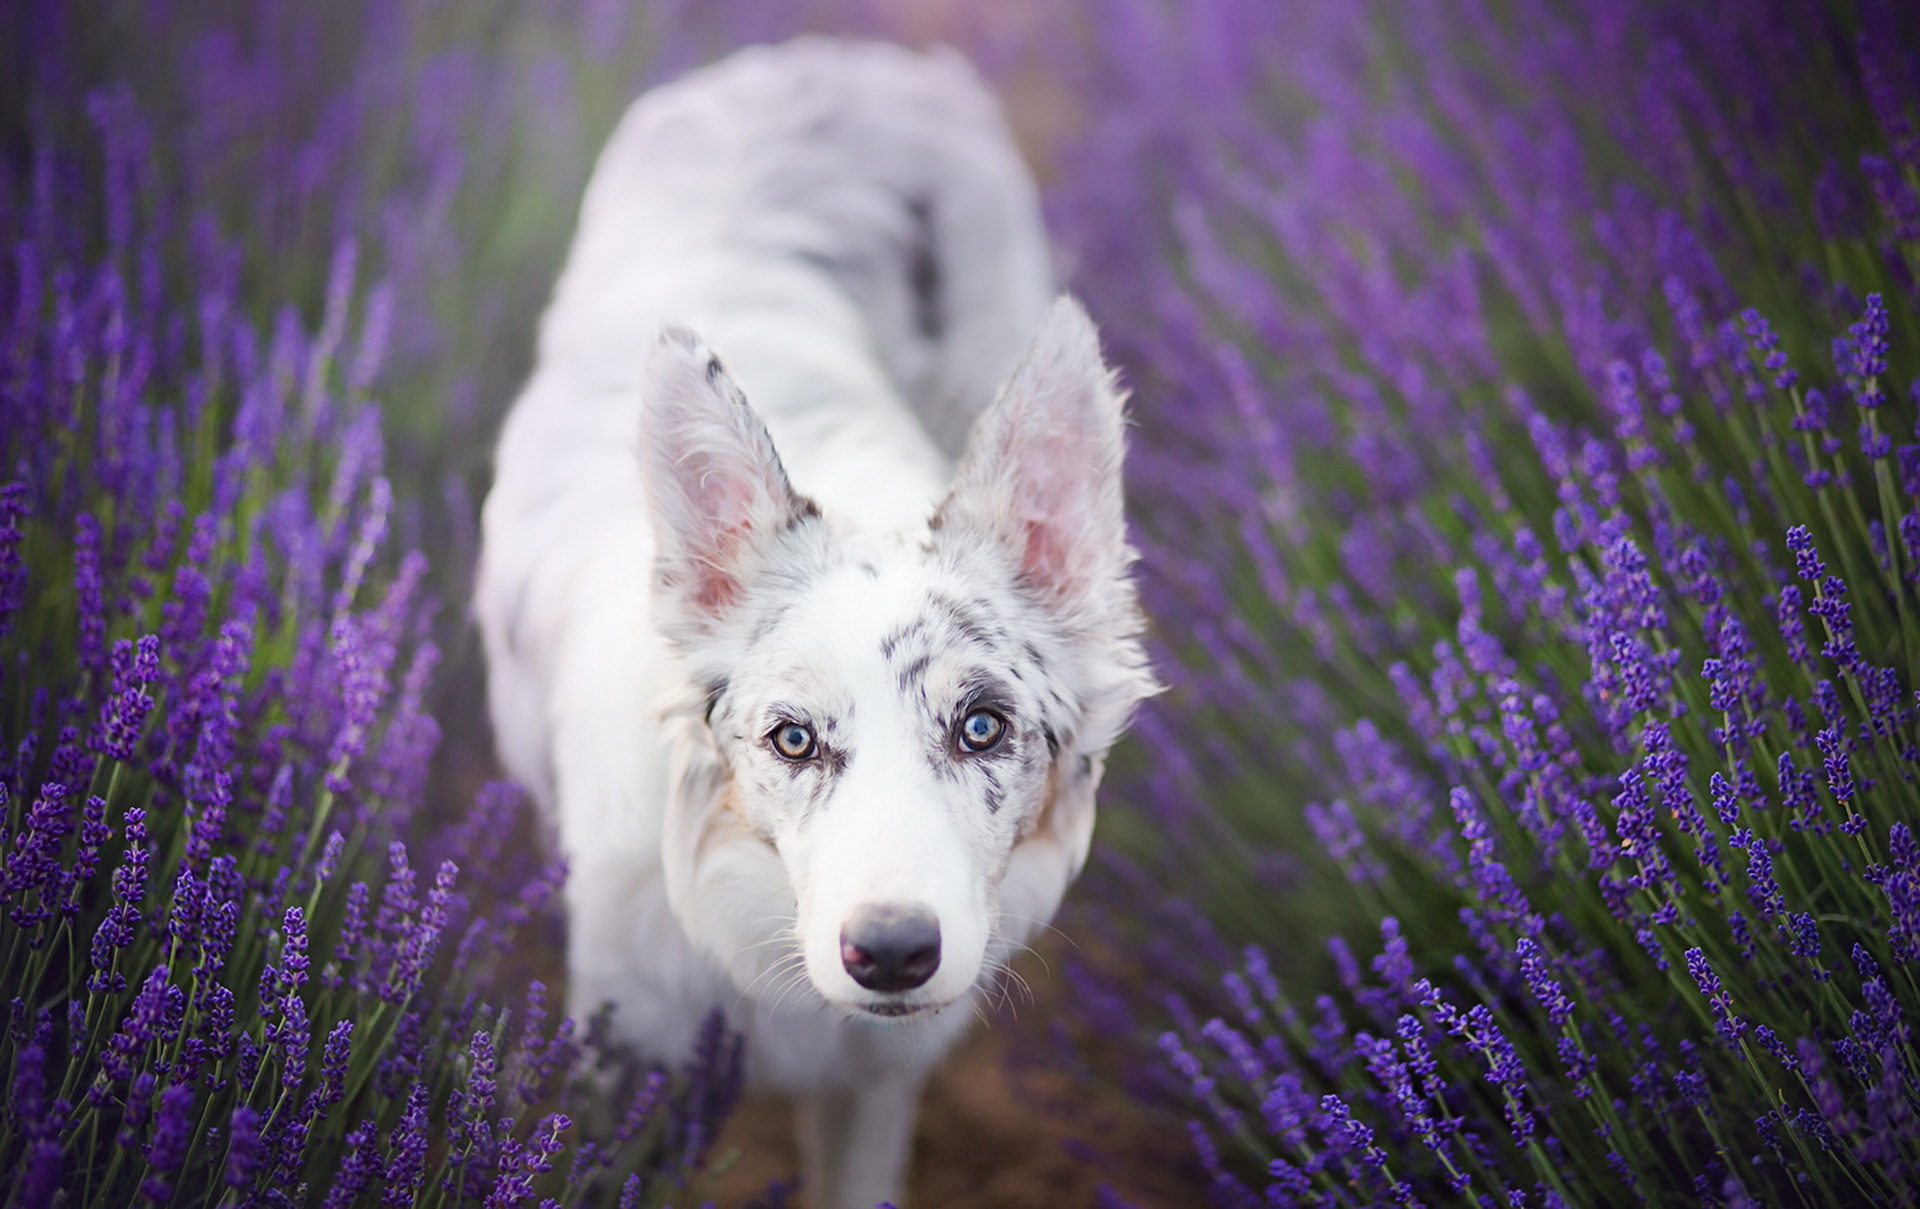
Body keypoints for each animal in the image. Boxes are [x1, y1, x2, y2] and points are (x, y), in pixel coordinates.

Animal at [472, 37, 1144, 1209]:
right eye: (791, 738)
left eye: (982, 727)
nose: (892, 953)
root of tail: (836, 55)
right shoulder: (624, 1058)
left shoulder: (878, 1079)